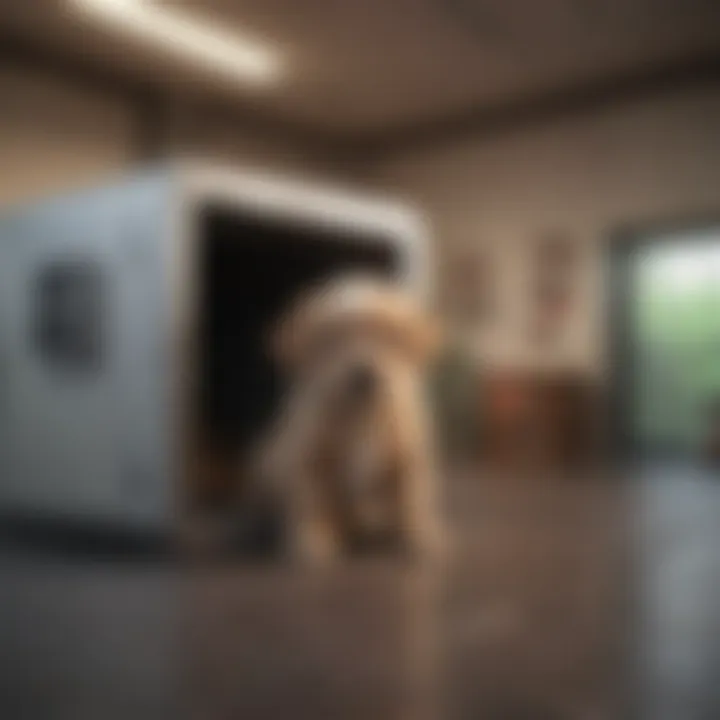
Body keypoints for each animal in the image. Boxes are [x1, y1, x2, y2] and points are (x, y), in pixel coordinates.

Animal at [264, 274, 444, 564]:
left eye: (389, 336)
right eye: (332, 338)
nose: (363, 374)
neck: (362, 413)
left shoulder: (407, 456)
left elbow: (413, 498)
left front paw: (421, 536)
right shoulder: (311, 457)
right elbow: (313, 502)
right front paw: (313, 539)